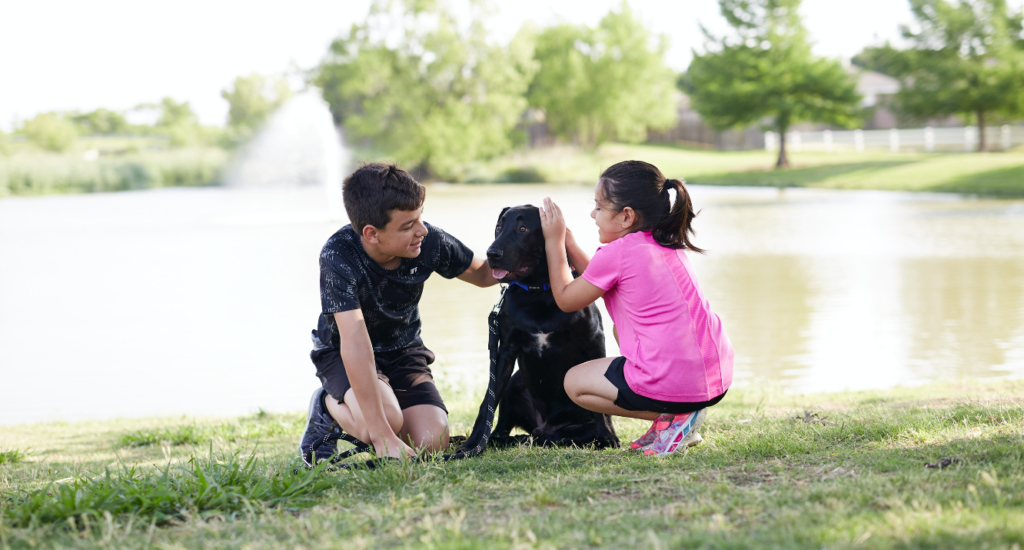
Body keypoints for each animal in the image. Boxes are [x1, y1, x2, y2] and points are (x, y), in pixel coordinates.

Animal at [458, 203, 618, 452]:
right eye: (499, 227)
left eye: (523, 228)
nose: (492, 254)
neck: (538, 291)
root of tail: (544, 426)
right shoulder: (506, 350)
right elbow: (486, 404)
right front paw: (471, 444)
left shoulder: (594, 340)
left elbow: (601, 409)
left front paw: (608, 437)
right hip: (515, 382)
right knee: (503, 430)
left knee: (554, 436)